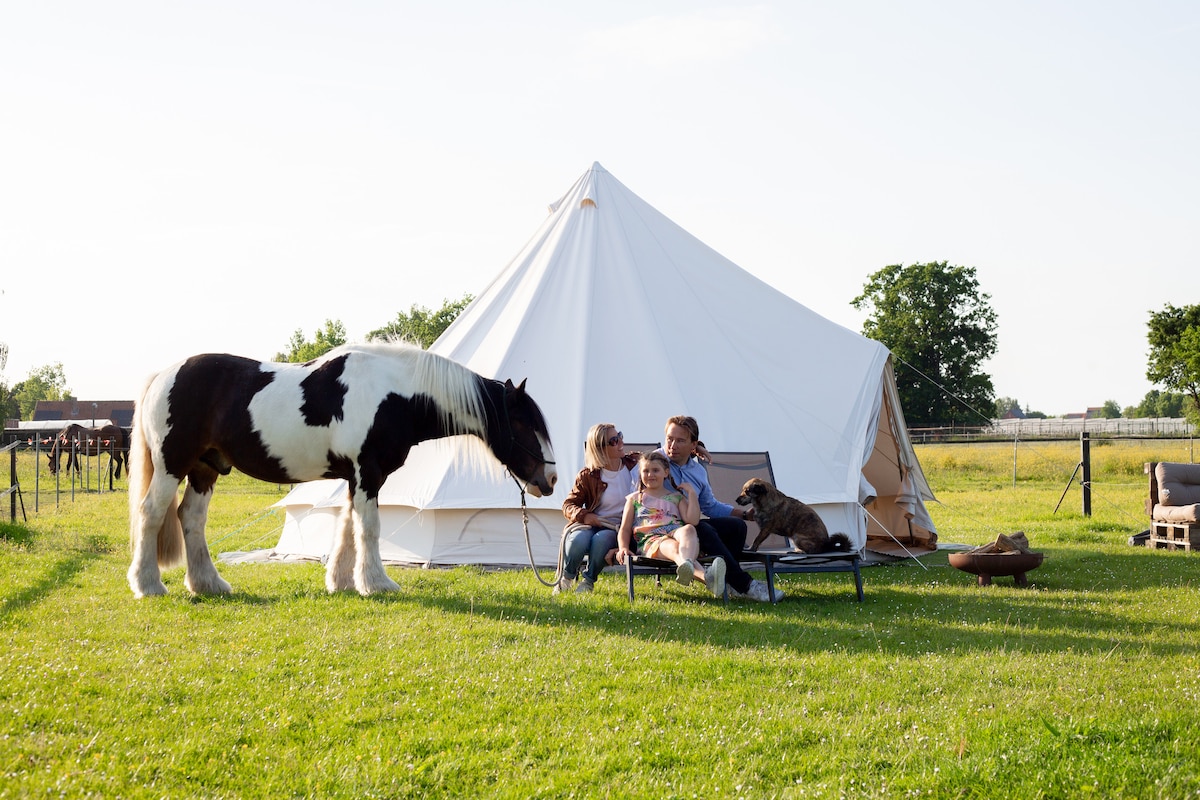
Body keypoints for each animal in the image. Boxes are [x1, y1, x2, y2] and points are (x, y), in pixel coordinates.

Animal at [126, 340, 556, 597]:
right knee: (151, 513)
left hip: (205, 468)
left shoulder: (356, 477)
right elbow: (369, 528)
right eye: (522, 423)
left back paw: (208, 584)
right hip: (172, 466)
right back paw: (149, 585)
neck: (394, 394)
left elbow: (348, 526)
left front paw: (344, 582)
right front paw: (378, 582)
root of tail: (163, 375)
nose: (549, 479)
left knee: (191, 518)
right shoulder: (368, 473)